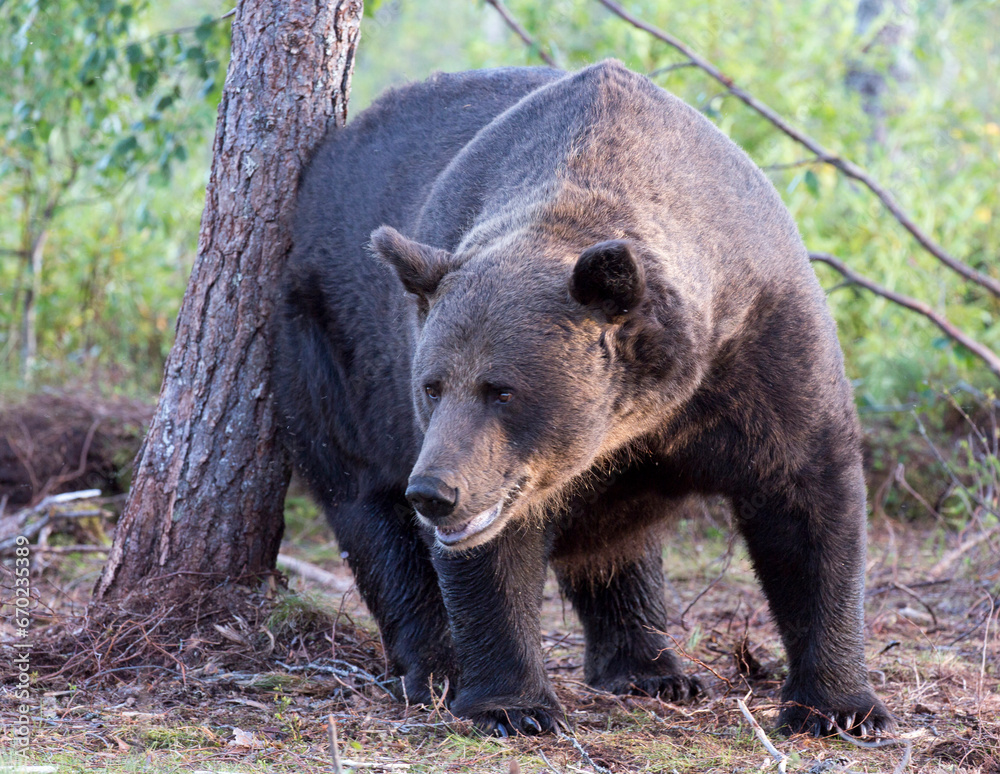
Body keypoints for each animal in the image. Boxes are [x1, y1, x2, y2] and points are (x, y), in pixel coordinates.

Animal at [274, 59, 892, 740]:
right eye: (432, 385)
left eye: (502, 389)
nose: (436, 492)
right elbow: (494, 551)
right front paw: (512, 705)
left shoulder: (760, 347)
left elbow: (807, 499)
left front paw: (840, 705)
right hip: (330, 350)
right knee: (366, 505)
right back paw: (434, 667)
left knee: (614, 542)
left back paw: (653, 667)